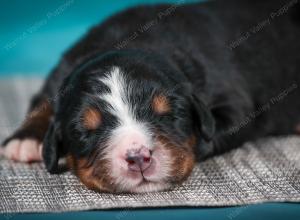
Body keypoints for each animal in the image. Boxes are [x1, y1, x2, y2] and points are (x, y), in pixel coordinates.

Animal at [0, 0, 300, 192]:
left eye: (168, 116)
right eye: (86, 132)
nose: (138, 157)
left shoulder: (234, 102)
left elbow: (207, 135)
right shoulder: (59, 74)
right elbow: (42, 103)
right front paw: (24, 139)